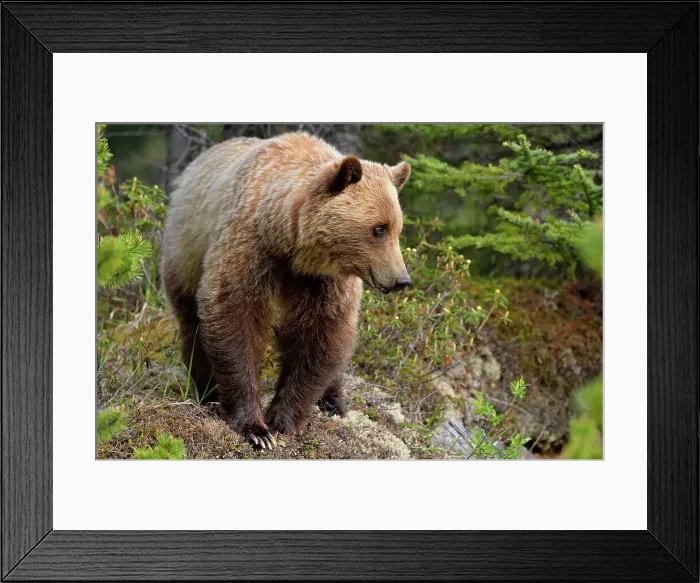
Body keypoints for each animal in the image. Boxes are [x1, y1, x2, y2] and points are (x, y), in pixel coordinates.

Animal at [161, 132, 411, 449]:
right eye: (379, 228)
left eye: (398, 229)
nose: (401, 280)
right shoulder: (251, 248)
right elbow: (234, 316)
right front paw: (256, 428)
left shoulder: (324, 282)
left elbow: (323, 335)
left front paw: (283, 420)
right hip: (184, 253)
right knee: (191, 324)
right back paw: (207, 390)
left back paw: (334, 401)